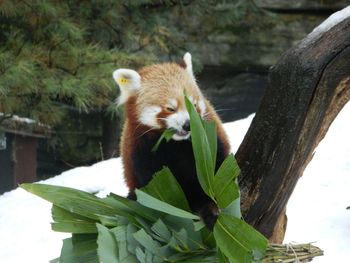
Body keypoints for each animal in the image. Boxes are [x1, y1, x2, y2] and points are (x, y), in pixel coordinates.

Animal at [113, 53, 231, 229]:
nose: (188, 125)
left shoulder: (209, 141)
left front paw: (211, 210)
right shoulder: (142, 153)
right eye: (170, 108)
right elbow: (154, 189)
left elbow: (215, 175)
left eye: (193, 104)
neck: (176, 145)